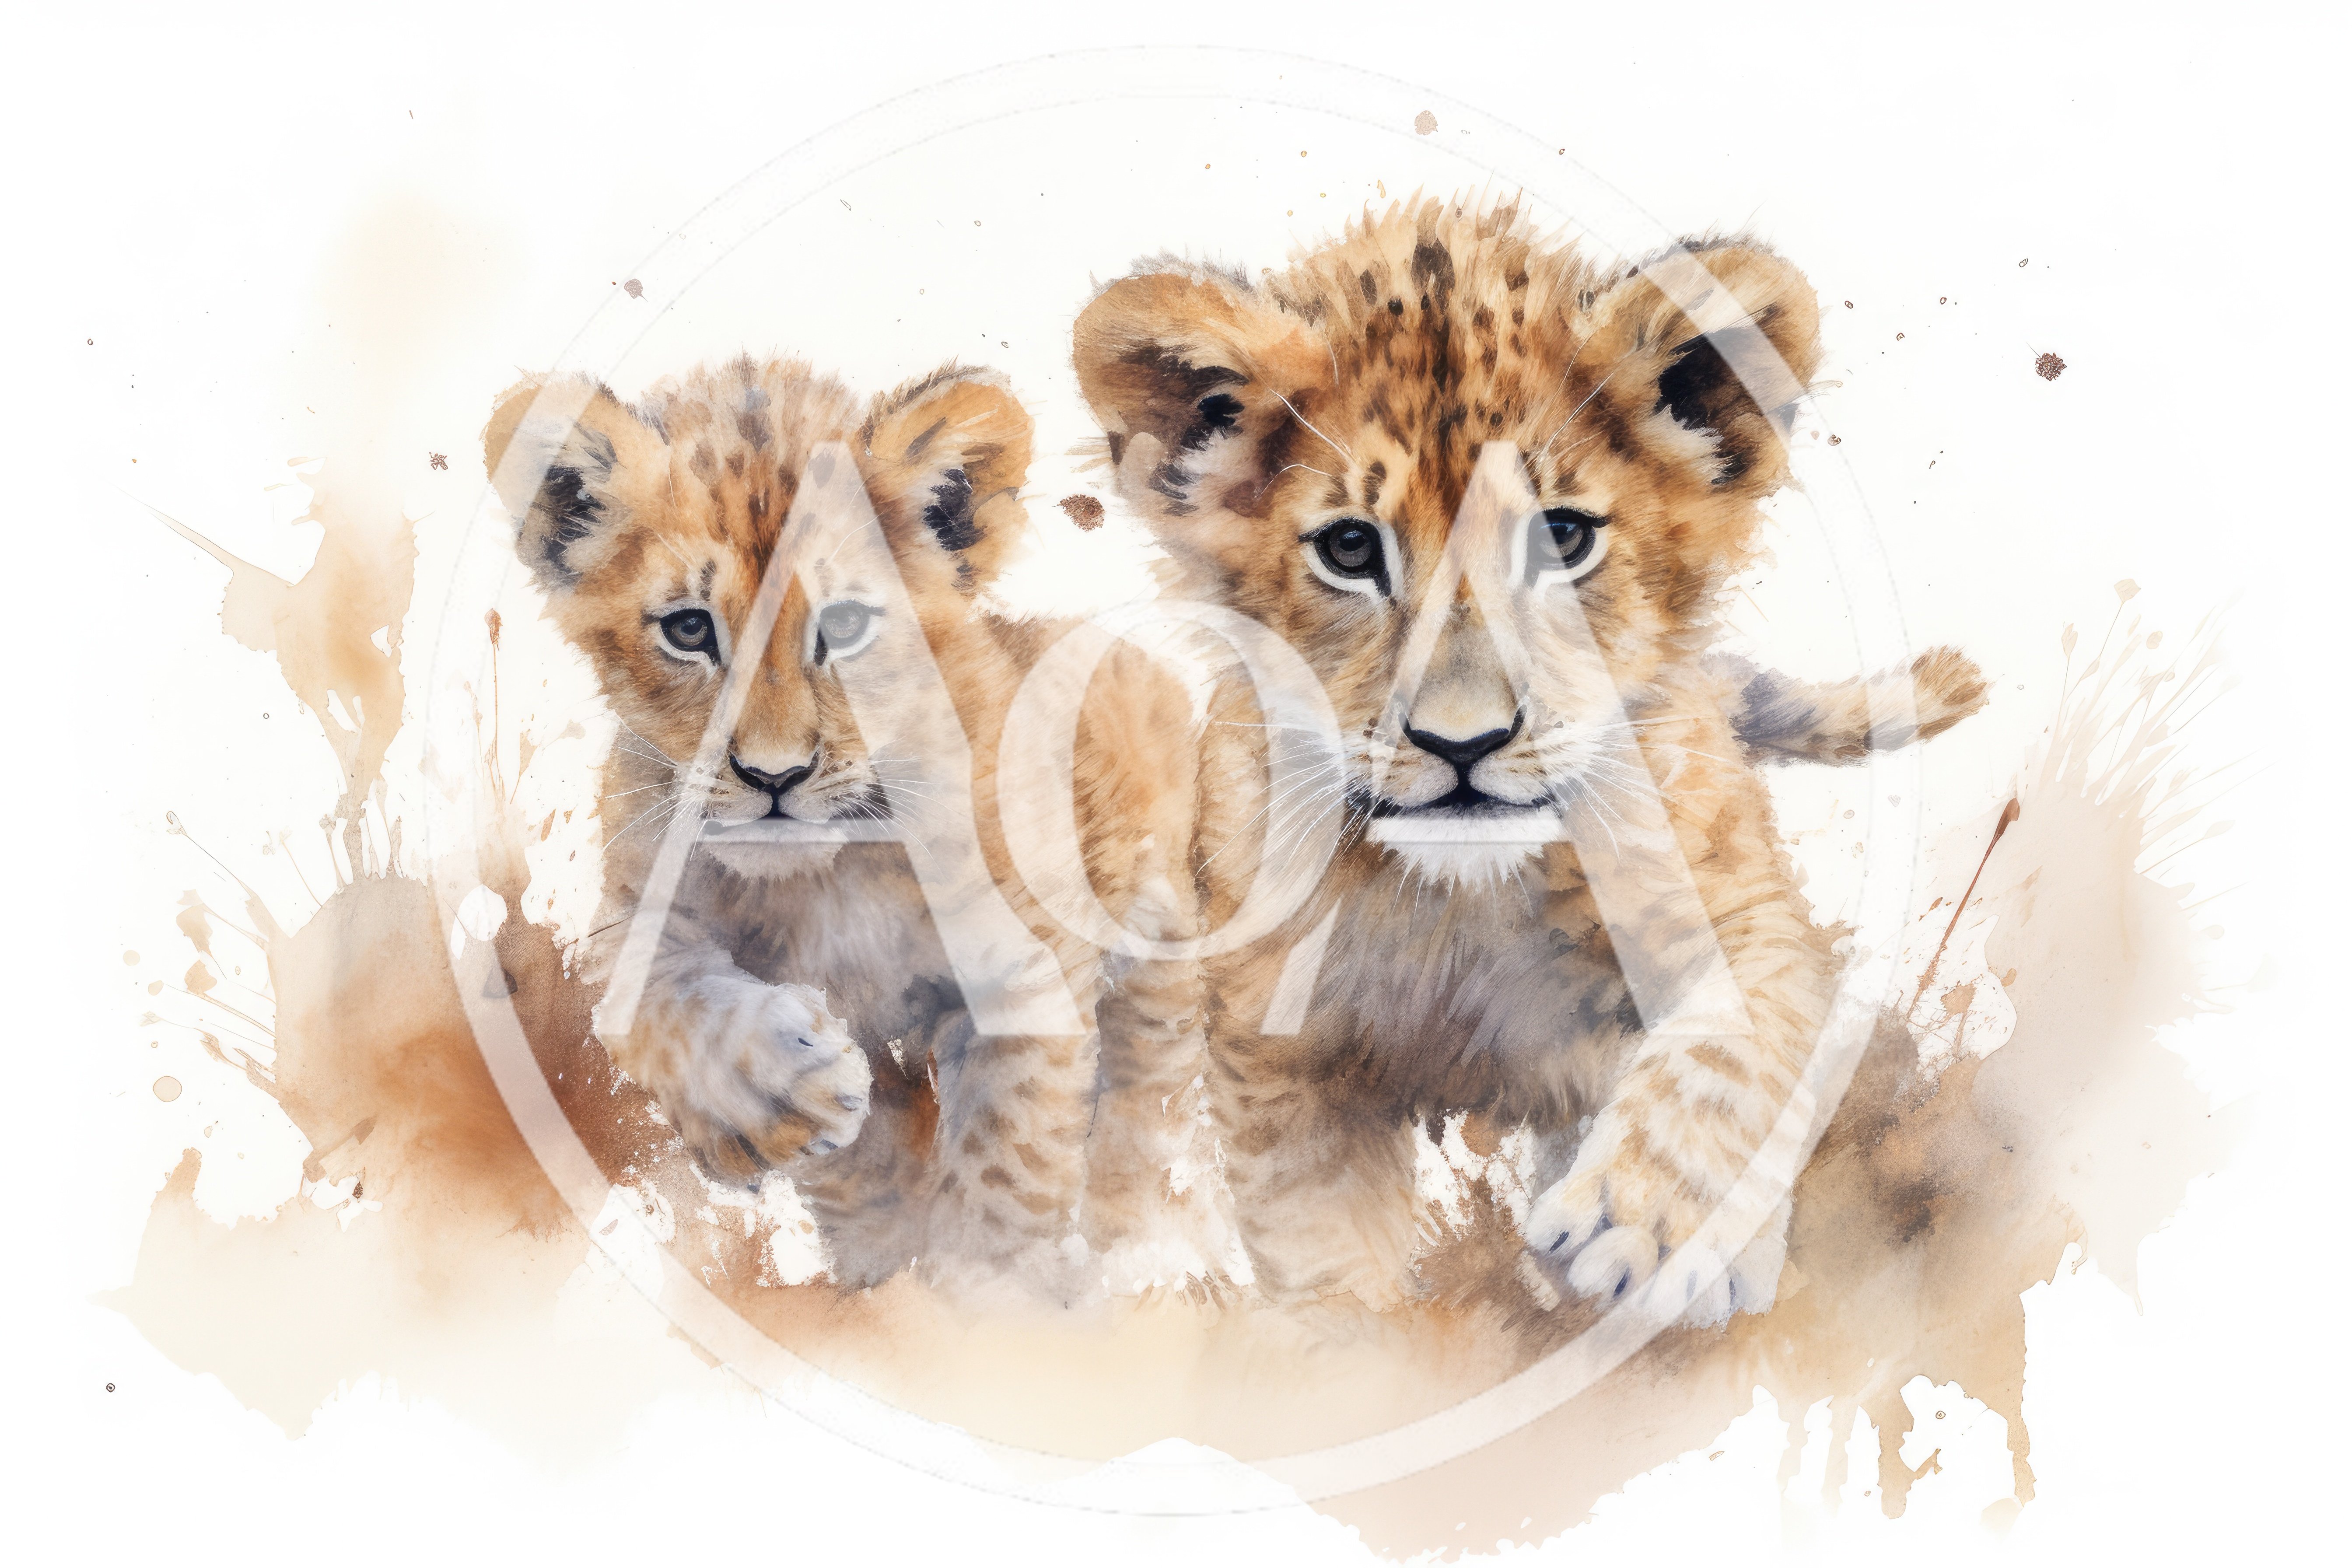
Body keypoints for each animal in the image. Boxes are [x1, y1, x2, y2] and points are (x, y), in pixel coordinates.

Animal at [484, 356, 1217, 1295]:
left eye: (844, 625)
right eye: (688, 628)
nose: (773, 776)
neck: (833, 878)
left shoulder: (1026, 969)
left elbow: (1009, 1162)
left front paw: (987, 1295)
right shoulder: (640, 914)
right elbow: (669, 1016)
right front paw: (790, 1109)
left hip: (1160, 943)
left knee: (1147, 1099)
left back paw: (1138, 1239)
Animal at [1072, 200, 1986, 1318]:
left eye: (1562, 537)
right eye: (1348, 550)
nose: (1462, 743)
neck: (1466, 908)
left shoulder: (1745, 912)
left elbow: (1732, 1042)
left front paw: (1650, 1228)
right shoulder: (1275, 1046)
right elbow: (1328, 1260)